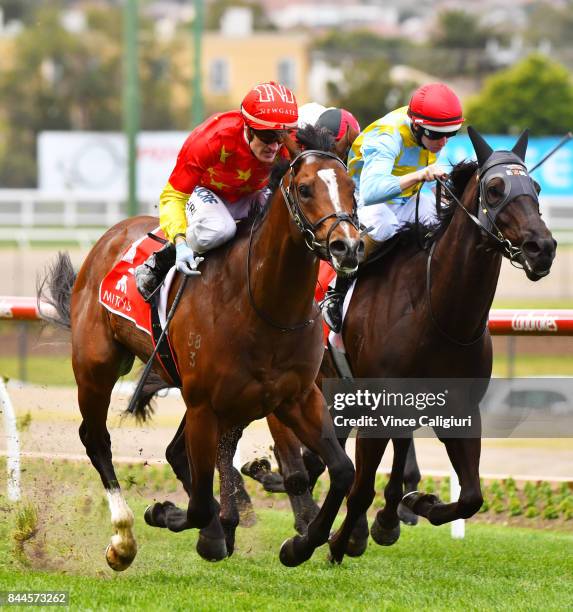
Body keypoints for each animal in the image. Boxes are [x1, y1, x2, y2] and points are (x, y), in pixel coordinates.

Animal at [38, 126, 362, 572]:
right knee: (96, 438)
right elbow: (200, 505)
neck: (262, 303)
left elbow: (343, 471)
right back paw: (123, 539)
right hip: (96, 365)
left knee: (174, 452)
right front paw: (173, 516)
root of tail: (110, 237)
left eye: (351, 186)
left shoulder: (296, 396)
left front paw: (299, 545)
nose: (348, 246)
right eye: (305, 188)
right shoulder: (205, 404)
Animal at [324, 126, 556, 560]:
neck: (436, 309)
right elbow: (361, 486)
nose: (544, 248)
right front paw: (338, 542)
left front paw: (417, 504)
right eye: (495, 189)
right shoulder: (380, 407)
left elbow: (472, 496)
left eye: (534, 187)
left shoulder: (460, 408)